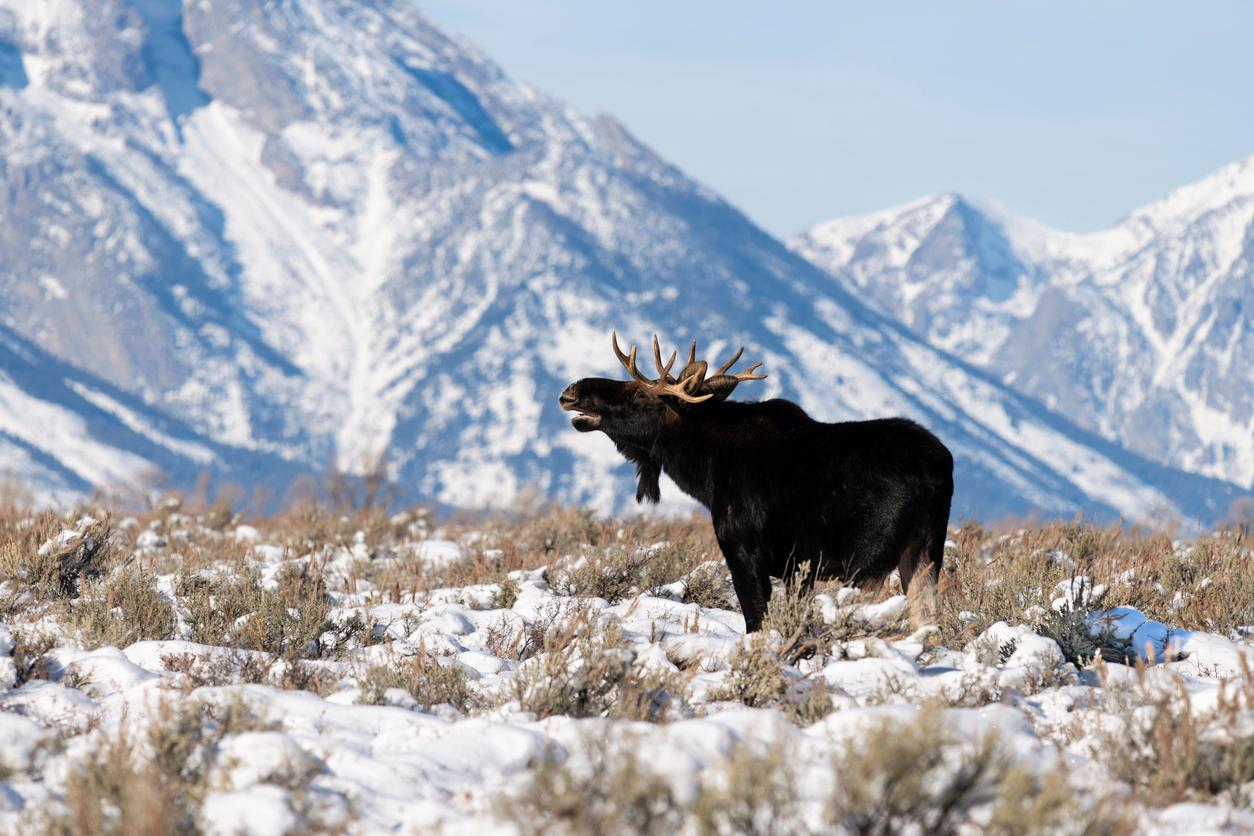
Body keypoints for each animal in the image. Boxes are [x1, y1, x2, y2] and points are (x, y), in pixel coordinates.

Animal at [559, 330, 948, 631]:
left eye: (640, 394)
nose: (572, 391)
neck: (704, 473)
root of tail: (938, 470)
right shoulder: (794, 571)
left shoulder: (745, 552)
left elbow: (756, 622)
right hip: (925, 552)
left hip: (869, 561)